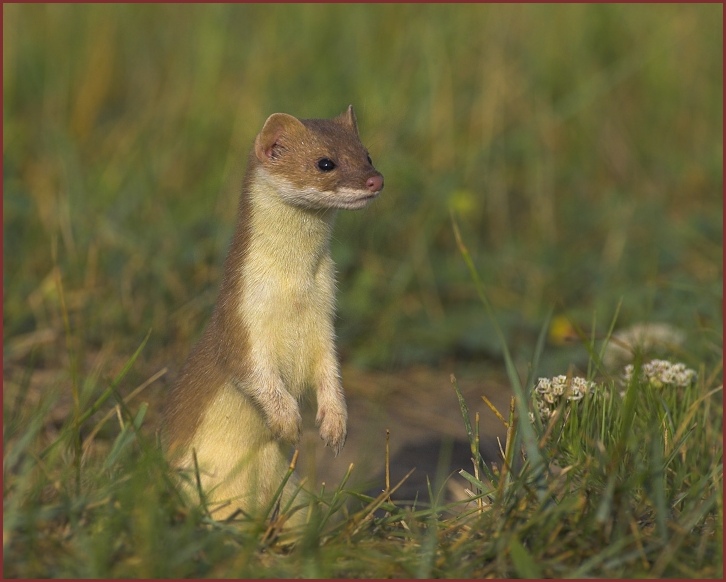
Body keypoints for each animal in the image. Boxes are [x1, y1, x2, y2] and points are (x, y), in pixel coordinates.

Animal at [162, 105, 384, 524]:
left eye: (367, 154)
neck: (294, 293)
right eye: (325, 162)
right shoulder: (242, 319)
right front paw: (287, 423)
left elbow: (330, 372)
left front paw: (335, 425)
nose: (375, 180)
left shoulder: (324, 320)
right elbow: (255, 374)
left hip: (295, 496)